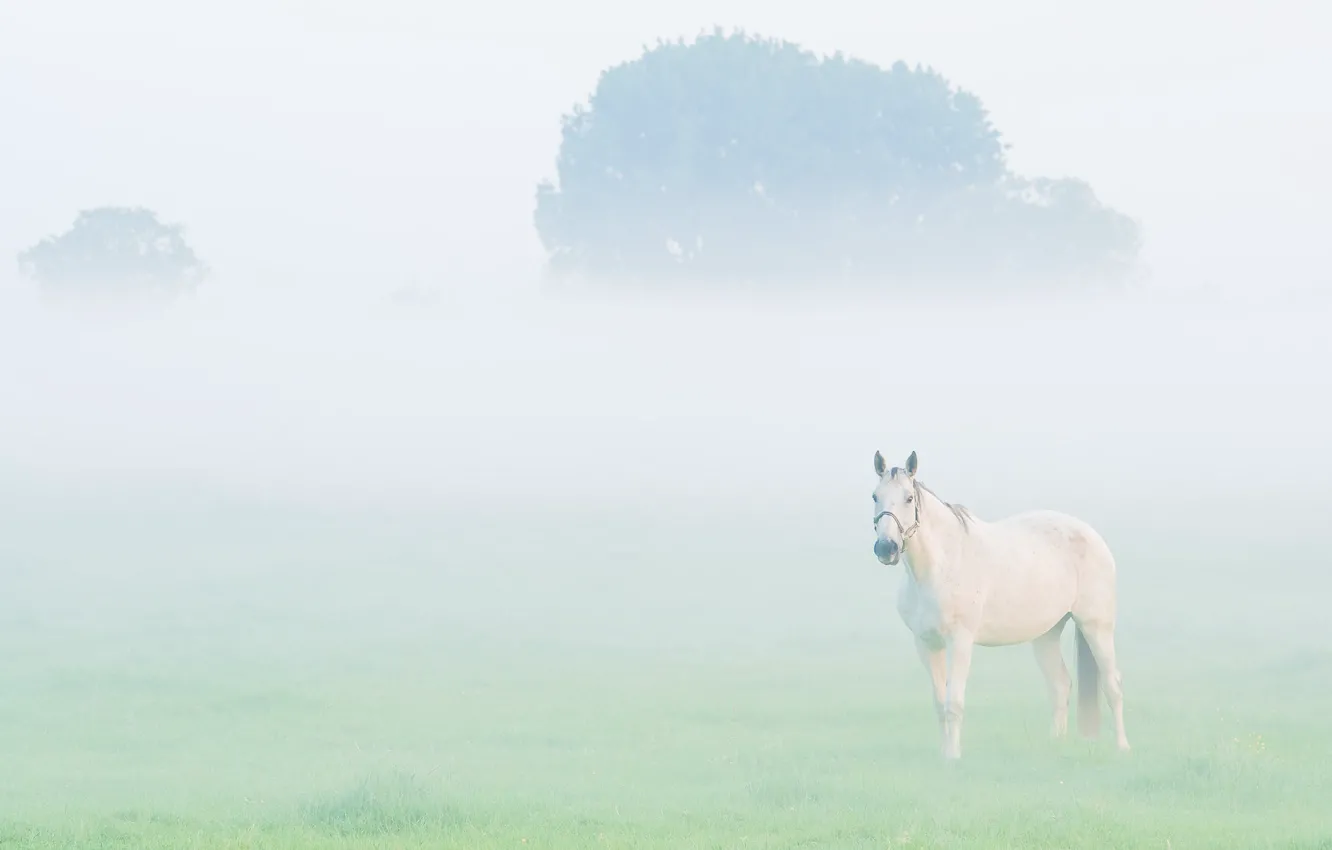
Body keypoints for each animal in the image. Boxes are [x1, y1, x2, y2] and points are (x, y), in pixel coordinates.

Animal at [870, 449, 1129, 759]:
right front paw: (944, 753)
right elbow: (939, 703)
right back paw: (1055, 745)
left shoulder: (960, 641)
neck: (941, 564)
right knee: (1060, 685)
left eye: (909, 498)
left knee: (1113, 685)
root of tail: (1092, 536)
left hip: (1096, 626)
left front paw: (953, 757)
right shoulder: (926, 644)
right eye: (875, 496)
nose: (886, 548)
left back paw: (1122, 747)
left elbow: (953, 702)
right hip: (1047, 634)